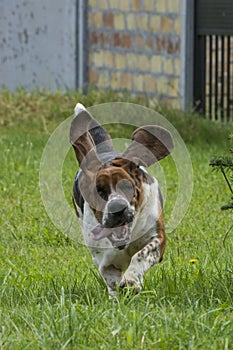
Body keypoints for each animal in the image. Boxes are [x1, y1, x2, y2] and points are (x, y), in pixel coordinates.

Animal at [70, 102, 174, 296]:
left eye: (127, 186)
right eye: (99, 191)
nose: (117, 208)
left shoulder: (158, 238)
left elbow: (141, 255)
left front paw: (132, 279)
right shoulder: (105, 263)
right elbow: (112, 280)